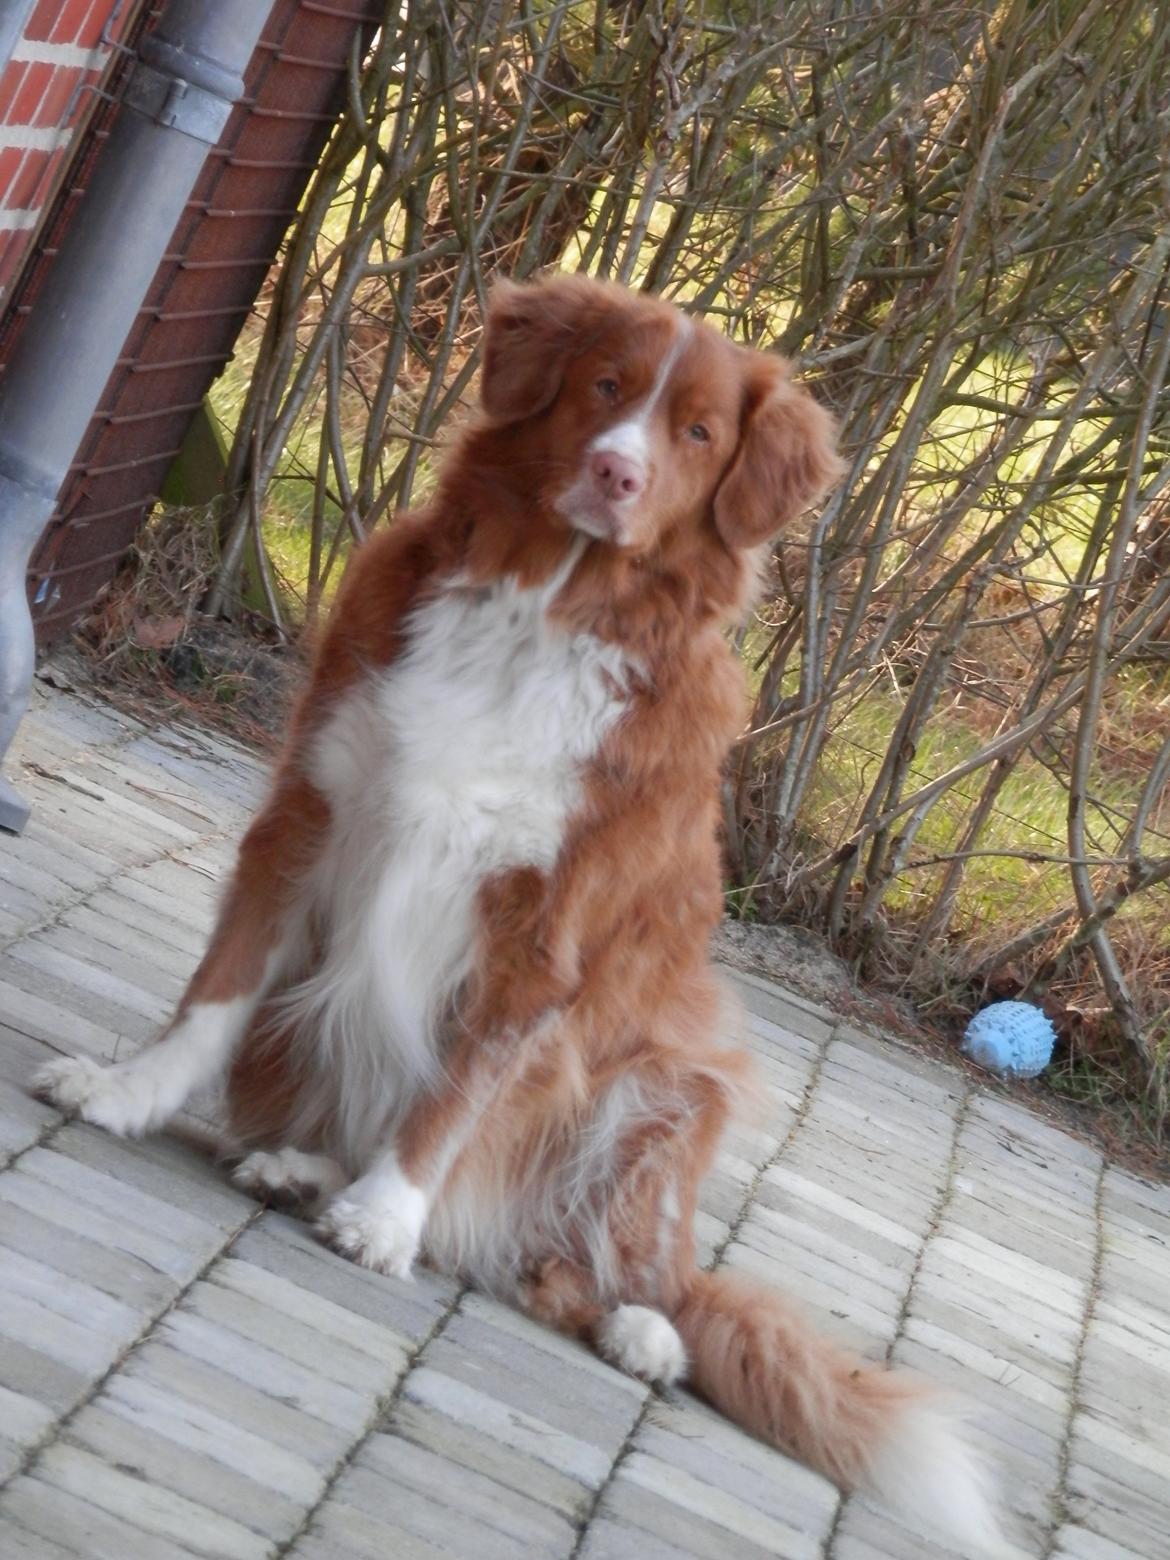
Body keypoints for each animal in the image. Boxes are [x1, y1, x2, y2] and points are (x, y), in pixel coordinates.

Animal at [39, 274, 998, 1553]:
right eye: (605, 386)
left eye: (700, 433)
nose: (618, 473)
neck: (546, 611)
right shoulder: (307, 818)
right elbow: (215, 998)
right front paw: (128, 1093)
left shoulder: (548, 933)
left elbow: (459, 1092)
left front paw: (385, 1218)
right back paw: (301, 1168)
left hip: (666, 1091)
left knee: (615, 1279)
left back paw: (634, 1328)